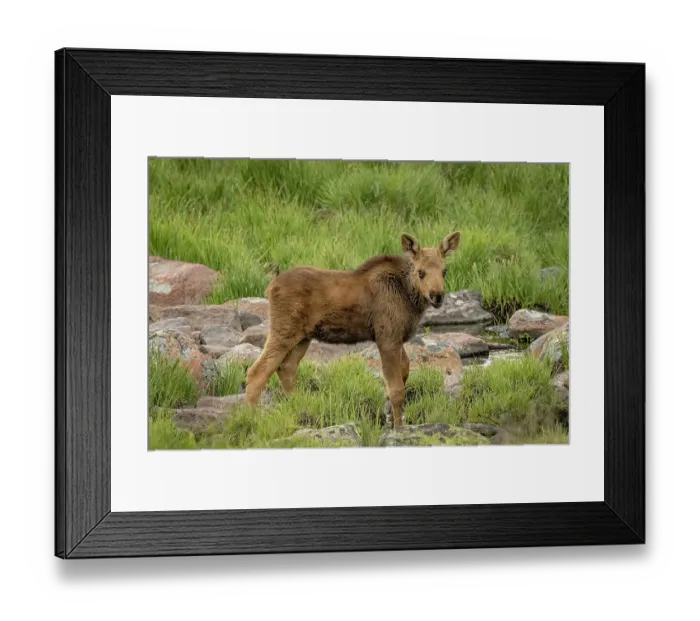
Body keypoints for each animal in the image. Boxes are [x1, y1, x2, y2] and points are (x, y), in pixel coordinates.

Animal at [244, 232, 461, 429]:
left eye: (444, 271)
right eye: (421, 272)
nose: (437, 296)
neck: (409, 298)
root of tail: (270, 287)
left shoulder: (396, 337)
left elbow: (404, 371)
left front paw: (390, 417)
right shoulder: (387, 338)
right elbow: (397, 389)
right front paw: (398, 427)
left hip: (303, 337)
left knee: (286, 368)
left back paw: (297, 411)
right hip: (284, 330)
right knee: (257, 372)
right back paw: (251, 420)